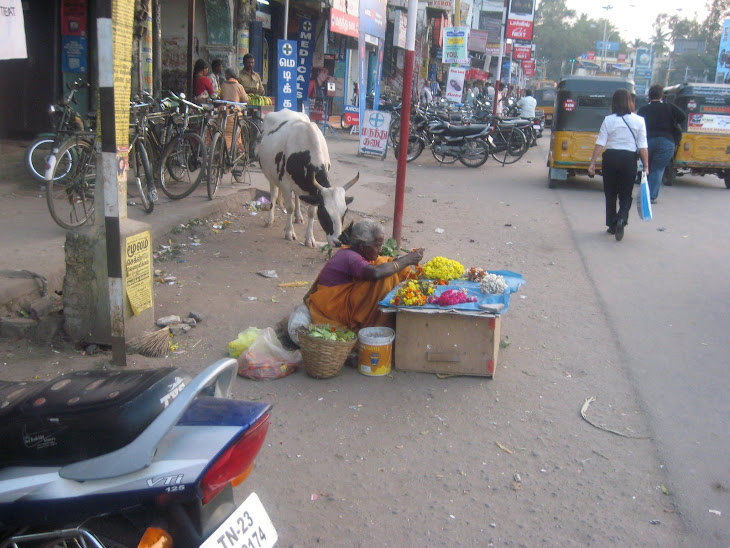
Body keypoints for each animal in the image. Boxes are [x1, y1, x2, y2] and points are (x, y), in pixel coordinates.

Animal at [256, 107, 358, 248]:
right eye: (325, 213)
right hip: (271, 175)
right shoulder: (286, 184)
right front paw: (289, 232)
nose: (338, 242)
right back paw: (270, 220)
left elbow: (311, 212)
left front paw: (309, 238)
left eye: (344, 213)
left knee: (297, 196)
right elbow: (290, 207)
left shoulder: (314, 191)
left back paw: (298, 217)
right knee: (274, 195)